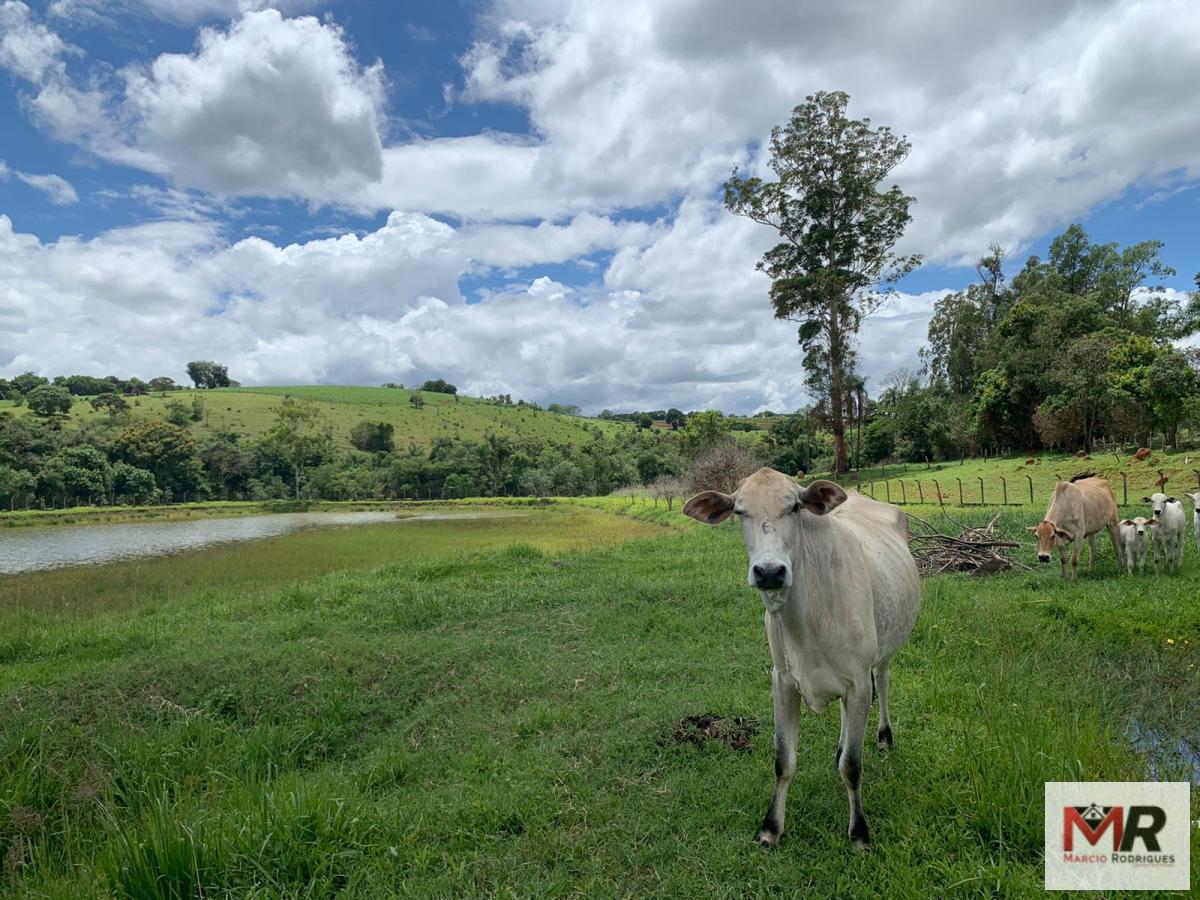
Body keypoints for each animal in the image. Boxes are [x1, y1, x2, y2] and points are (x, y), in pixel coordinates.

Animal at [686, 472, 916, 854]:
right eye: (739, 511)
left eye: (795, 507)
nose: (769, 572)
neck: (806, 617)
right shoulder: (782, 682)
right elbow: (784, 761)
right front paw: (770, 829)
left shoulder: (857, 681)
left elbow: (853, 766)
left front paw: (859, 833)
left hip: (885, 650)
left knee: (882, 682)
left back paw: (884, 737)